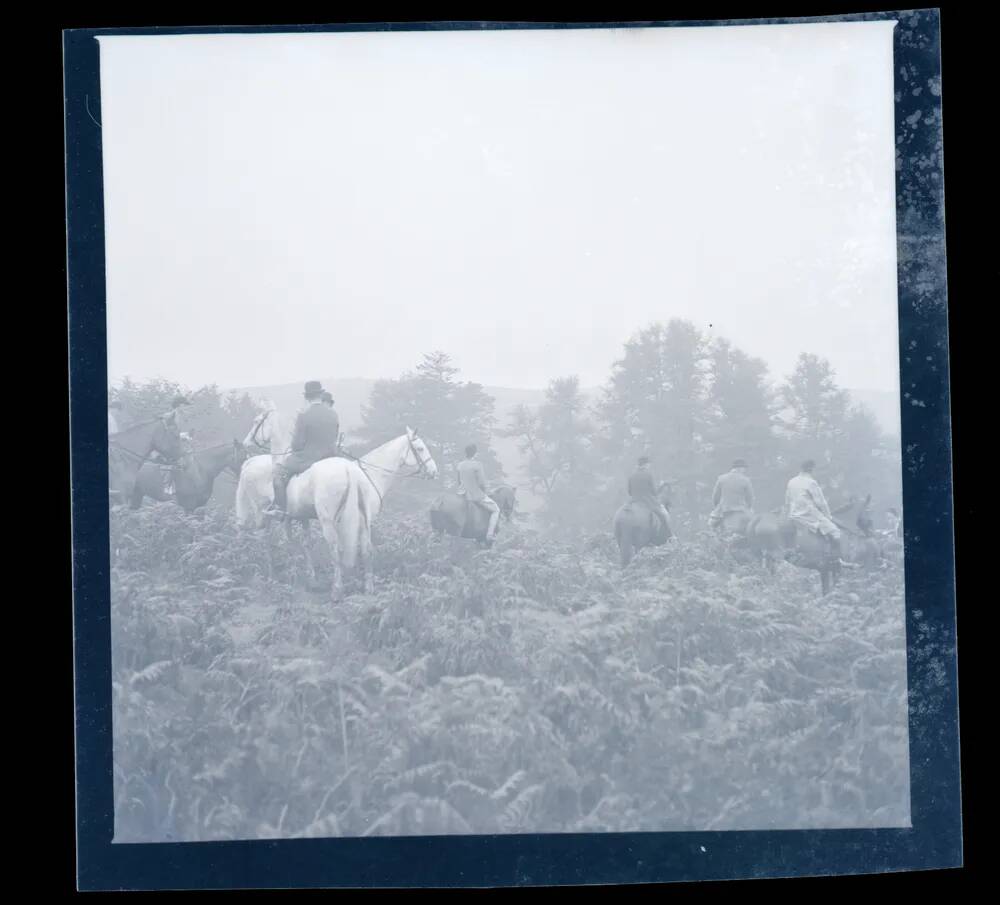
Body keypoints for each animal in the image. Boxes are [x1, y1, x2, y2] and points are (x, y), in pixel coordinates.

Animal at [236, 428, 440, 596]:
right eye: (420, 448)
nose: (434, 472)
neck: (368, 475)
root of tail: (250, 462)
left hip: (294, 516)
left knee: (295, 543)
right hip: (263, 513)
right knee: (266, 540)